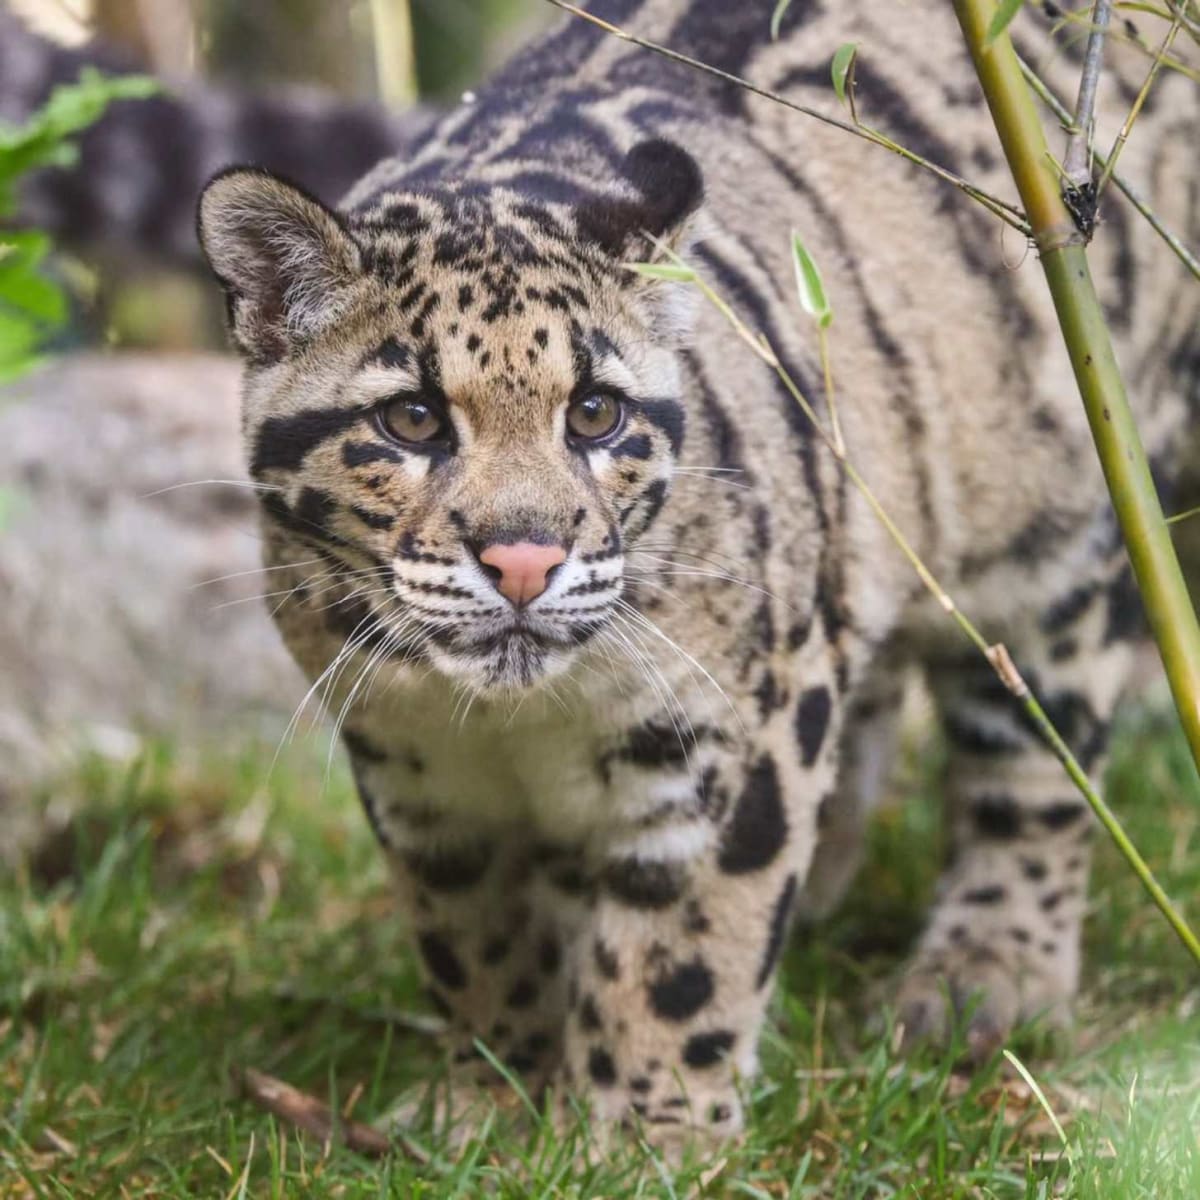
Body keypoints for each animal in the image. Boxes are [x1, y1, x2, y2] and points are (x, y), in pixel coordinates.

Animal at [188, 0, 1199, 1157]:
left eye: (595, 412)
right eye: (411, 419)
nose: (526, 556)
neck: (516, 718)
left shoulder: (737, 726)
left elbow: (684, 944)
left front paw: (641, 1136)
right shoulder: (413, 767)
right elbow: (471, 935)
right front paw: (493, 1094)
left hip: (1066, 539)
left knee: (1033, 765)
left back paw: (982, 977)